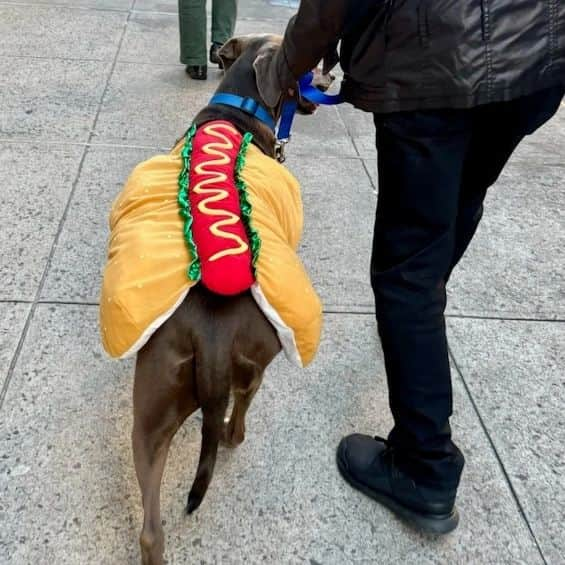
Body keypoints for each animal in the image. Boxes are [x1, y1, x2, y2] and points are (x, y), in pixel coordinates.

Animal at [129, 36, 328, 564]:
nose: (329, 76)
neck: (239, 104)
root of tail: (212, 337)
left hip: (151, 408)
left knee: (151, 527)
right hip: (255, 364)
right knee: (235, 418)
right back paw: (236, 434)